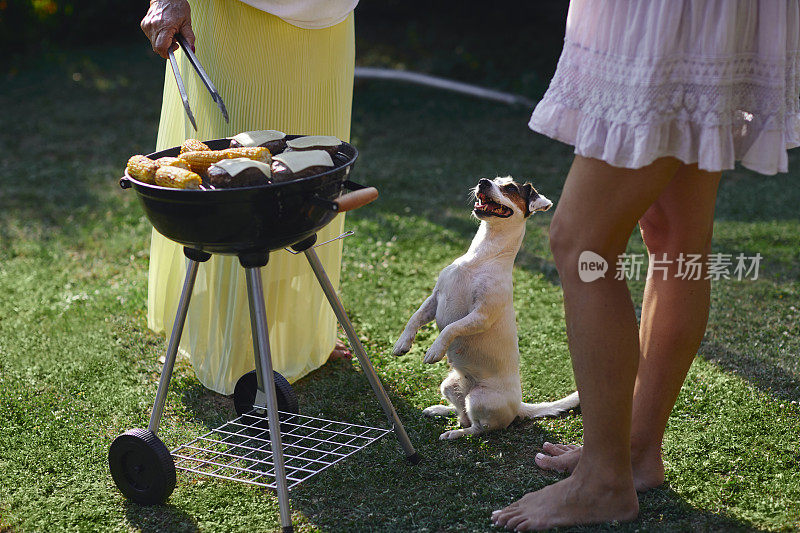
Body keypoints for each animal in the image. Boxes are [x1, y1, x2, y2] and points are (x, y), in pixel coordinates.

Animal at [392, 177, 576, 438]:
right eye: (495, 180)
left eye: (511, 188)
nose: (483, 182)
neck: (481, 257)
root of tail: (518, 406)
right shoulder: (435, 298)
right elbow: (415, 318)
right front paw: (402, 344)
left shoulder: (481, 315)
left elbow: (450, 328)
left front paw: (435, 350)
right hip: (450, 385)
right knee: (462, 415)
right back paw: (440, 410)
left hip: (480, 398)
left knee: (478, 428)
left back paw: (454, 434)